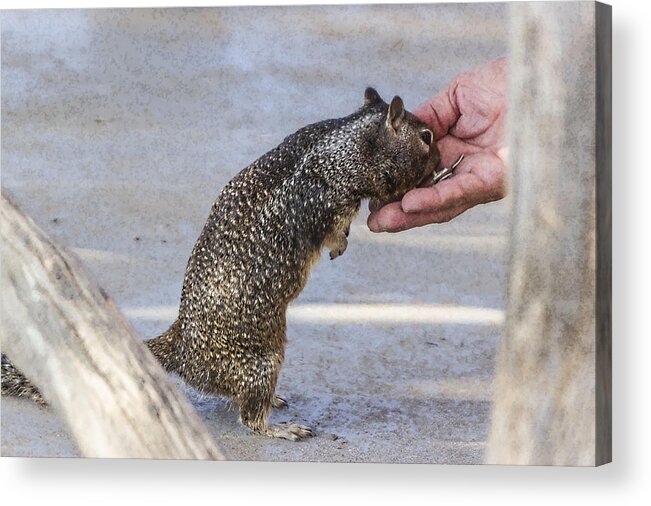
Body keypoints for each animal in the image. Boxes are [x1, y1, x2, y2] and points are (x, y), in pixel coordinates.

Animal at [1, 89, 444, 440]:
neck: (346, 141)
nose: (442, 161)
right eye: (426, 137)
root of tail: (180, 349)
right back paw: (280, 427)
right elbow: (333, 230)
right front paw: (340, 247)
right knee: (250, 418)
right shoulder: (328, 201)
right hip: (263, 362)